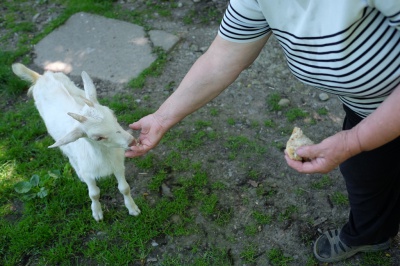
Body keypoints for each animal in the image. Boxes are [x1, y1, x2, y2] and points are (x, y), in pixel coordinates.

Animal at [11, 63, 141, 221]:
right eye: (98, 137)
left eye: (113, 115)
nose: (132, 141)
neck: (103, 156)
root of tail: (41, 77)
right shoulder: (89, 172)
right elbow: (94, 193)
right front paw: (97, 213)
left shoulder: (118, 165)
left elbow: (124, 188)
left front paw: (133, 209)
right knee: (70, 156)